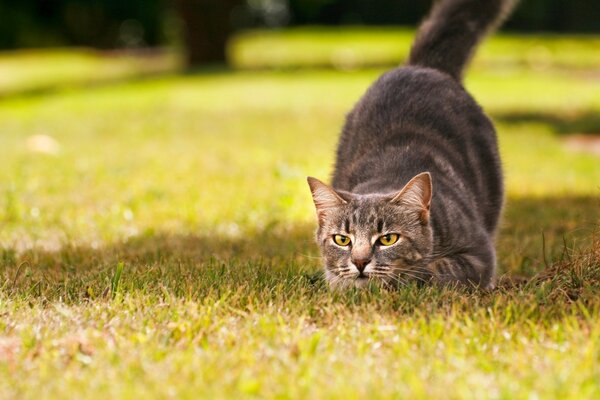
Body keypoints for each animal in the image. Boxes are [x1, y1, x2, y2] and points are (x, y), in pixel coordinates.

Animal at [304, 0, 516, 290]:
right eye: (342, 240)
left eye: (388, 239)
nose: (359, 261)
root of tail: (422, 66)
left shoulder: (479, 255)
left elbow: (435, 269)